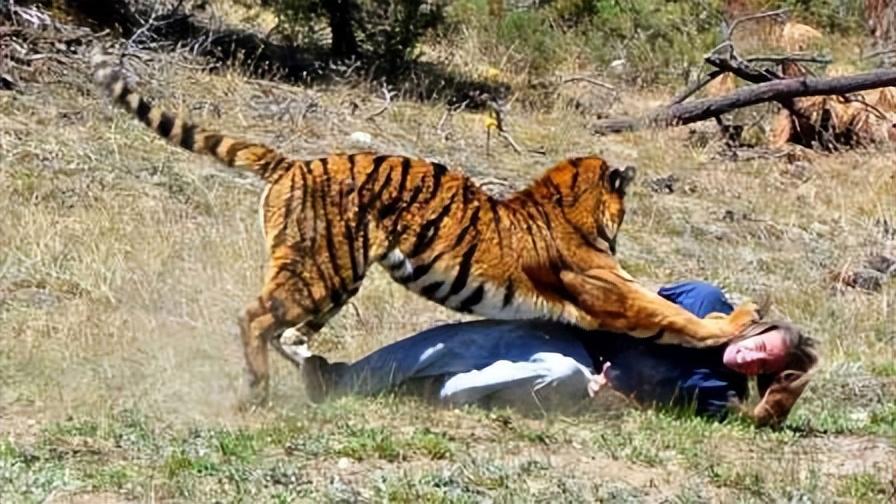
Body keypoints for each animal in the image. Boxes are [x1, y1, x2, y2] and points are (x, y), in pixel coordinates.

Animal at [92, 55, 760, 406]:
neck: (564, 200)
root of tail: (293, 163)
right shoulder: (613, 293)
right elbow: (675, 317)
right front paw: (738, 320)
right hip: (322, 268)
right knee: (255, 318)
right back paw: (257, 389)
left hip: (334, 279)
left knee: (289, 331)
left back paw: (311, 367)